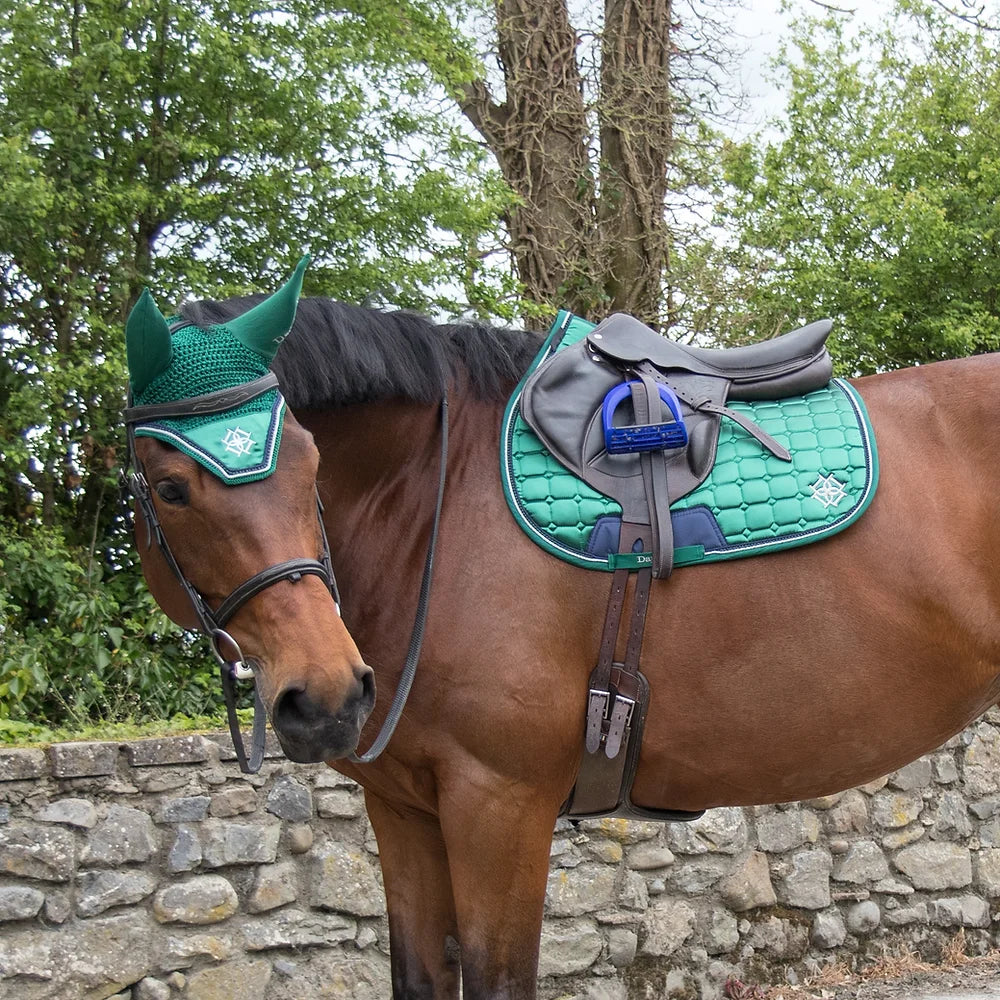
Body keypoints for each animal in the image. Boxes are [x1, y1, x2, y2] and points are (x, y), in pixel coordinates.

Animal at [121, 268, 1000, 1000]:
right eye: (170, 488)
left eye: (309, 463)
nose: (327, 694)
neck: (436, 504)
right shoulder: (406, 812)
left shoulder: (499, 803)